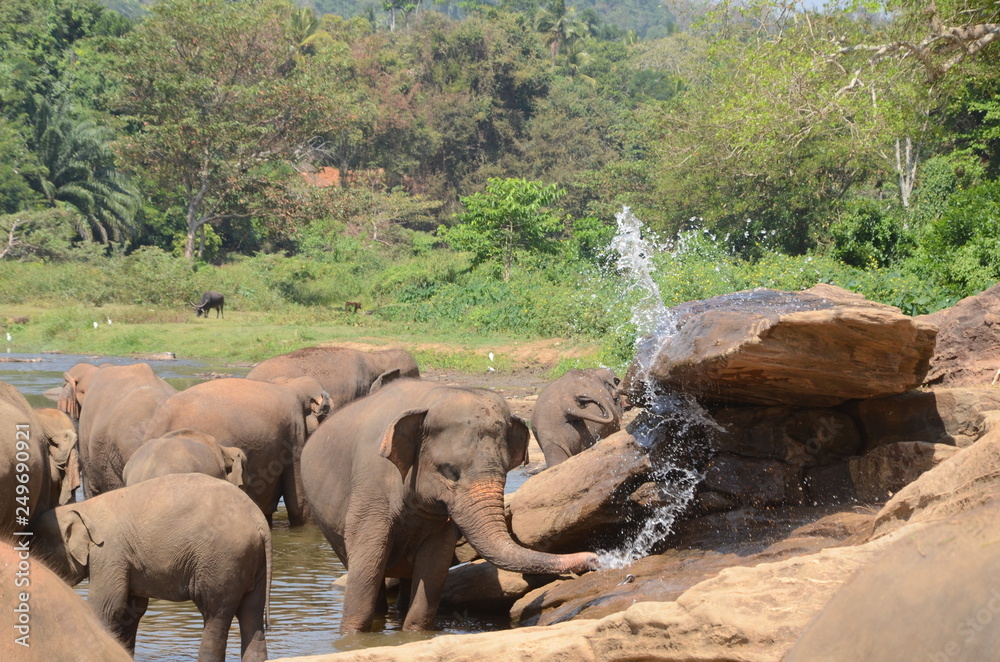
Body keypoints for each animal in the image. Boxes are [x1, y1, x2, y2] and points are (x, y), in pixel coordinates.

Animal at [31, 473, 271, 662]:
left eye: (38, 550)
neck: (83, 508)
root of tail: (259, 522)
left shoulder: (109, 552)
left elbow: (107, 605)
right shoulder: (126, 559)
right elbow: (132, 608)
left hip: (222, 561)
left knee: (215, 615)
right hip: (253, 564)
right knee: (252, 614)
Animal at [301, 379, 600, 633]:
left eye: (505, 473)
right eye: (450, 472)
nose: (595, 559)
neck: (431, 397)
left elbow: (435, 564)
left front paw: (414, 635)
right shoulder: (370, 486)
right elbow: (368, 561)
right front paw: (352, 638)